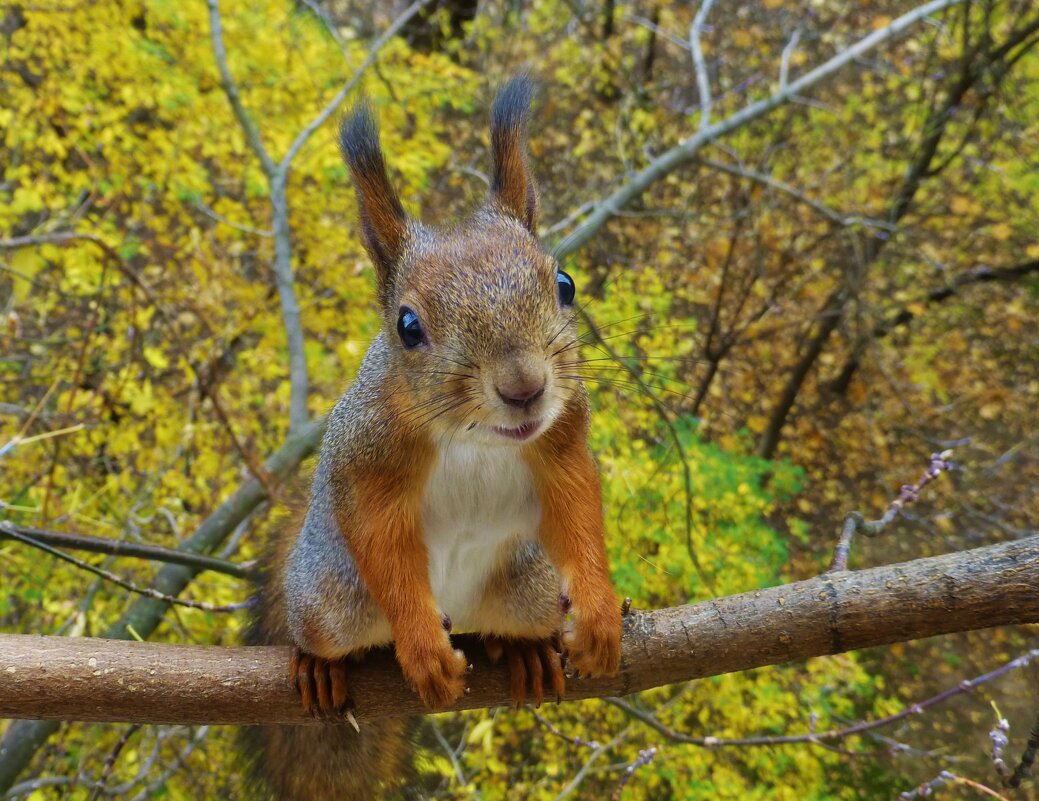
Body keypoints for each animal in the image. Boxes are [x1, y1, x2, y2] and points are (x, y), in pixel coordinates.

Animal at [247, 76, 619, 801]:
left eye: (563, 284)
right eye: (407, 325)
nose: (524, 386)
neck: (475, 437)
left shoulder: (563, 438)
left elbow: (576, 507)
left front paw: (600, 609)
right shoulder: (365, 458)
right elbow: (382, 540)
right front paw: (420, 648)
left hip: (528, 584)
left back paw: (523, 649)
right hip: (329, 594)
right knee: (326, 625)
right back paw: (322, 666)